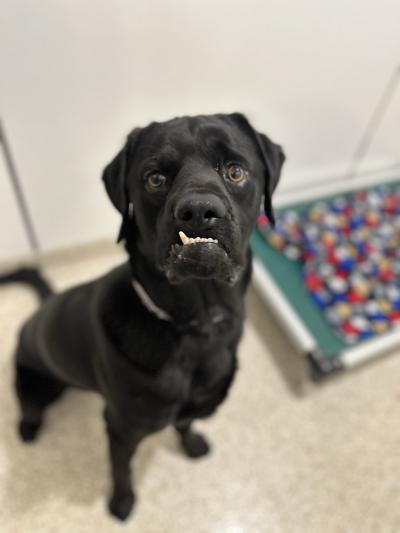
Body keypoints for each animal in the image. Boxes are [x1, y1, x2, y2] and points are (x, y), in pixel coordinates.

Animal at [3, 113, 284, 520]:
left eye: (235, 171)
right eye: (155, 178)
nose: (199, 211)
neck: (196, 329)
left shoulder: (188, 406)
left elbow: (185, 425)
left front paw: (192, 444)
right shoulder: (121, 428)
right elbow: (121, 470)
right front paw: (121, 503)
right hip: (32, 380)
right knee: (28, 404)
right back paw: (28, 427)